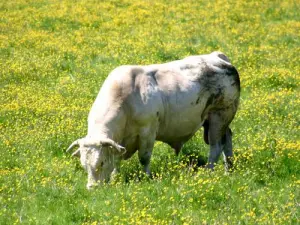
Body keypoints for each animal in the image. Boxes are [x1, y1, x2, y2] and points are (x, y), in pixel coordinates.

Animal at [67, 51, 240, 190]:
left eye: (101, 162)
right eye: (83, 164)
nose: (92, 187)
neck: (125, 99)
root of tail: (218, 57)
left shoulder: (148, 132)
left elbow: (144, 158)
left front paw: (147, 177)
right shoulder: (119, 142)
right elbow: (116, 159)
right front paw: (115, 177)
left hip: (219, 117)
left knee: (216, 147)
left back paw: (209, 171)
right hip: (217, 121)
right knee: (227, 139)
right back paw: (228, 169)